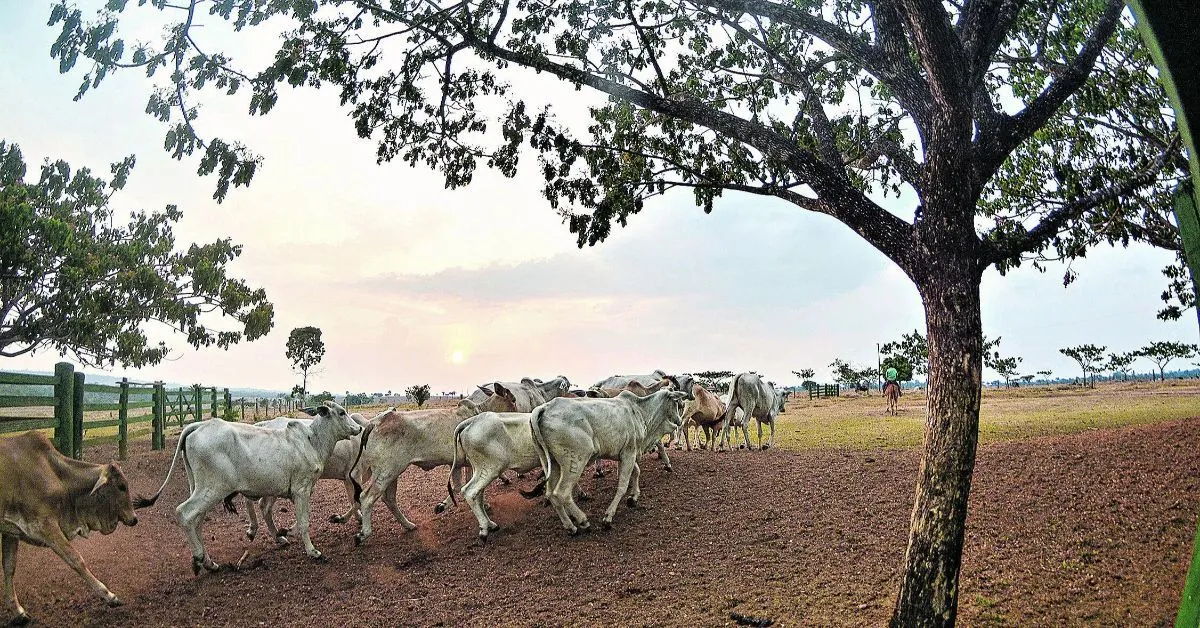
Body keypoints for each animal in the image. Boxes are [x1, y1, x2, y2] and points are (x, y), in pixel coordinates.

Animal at [0, 432, 138, 624]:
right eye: (121, 486)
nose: (134, 518)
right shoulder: (45, 526)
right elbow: (76, 559)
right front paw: (109, 596)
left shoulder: (11, 530)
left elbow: (9, 567)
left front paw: (18, 612)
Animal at [133, 403, 360, 573]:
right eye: (341, 412)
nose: (358, 428)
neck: (312, 440)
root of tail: (197, 427)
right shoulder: (301, 490)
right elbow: (304, 522)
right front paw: (313, 552)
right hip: (212, 489)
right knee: (184, 513)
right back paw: (199, 558)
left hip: (199, 487)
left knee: (196, 520)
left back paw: (209, 563)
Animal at [350, 393, 513, 545]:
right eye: (512, 400)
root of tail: (374, 422)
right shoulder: (472, 464)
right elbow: (471, 488)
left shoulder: (457, 464)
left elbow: (458, 486)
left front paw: (442, 506)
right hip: (387, 472)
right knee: (367, 498)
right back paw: (363, 534)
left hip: (390, 473)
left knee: (388, 498)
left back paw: (408, 525)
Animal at [528, 391, 686, 533]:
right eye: (677, 403)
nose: (679, 421)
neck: (640, 411)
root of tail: (545, 408)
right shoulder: (629, 452)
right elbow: (622, 486)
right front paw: (608, 517)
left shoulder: (626, 454)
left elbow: (636, 472)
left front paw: (634, 497)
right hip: (575, 462)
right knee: (561, 493)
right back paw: (583, 521)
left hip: (552, 462)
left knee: (550, 494)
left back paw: (570, 526)